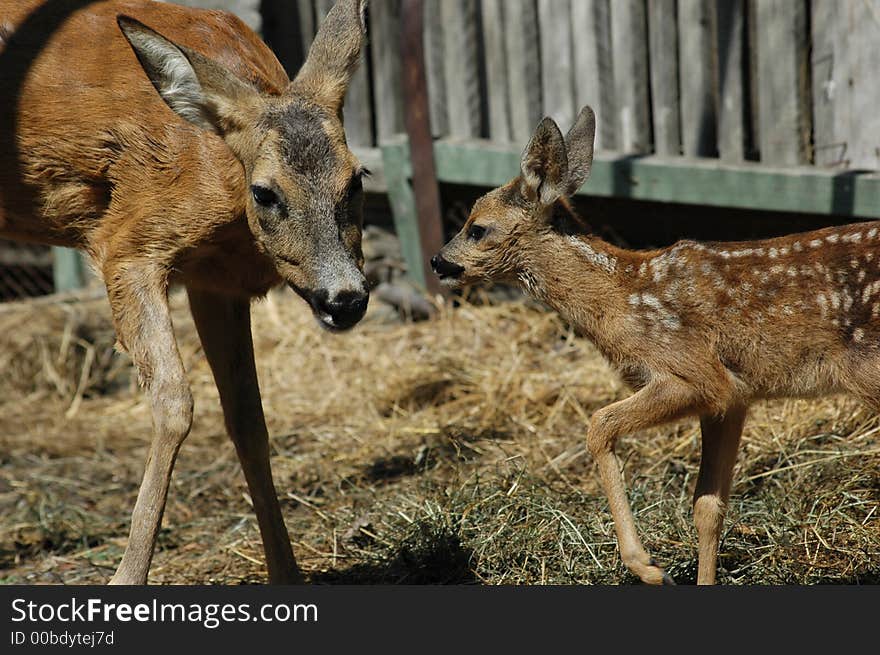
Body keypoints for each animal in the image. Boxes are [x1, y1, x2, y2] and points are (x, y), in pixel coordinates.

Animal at [0, 0, 372, 584]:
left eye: (357, 179)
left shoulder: (214, 280)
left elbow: (248, 419)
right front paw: (125, 578)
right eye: (265, 193)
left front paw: (287, 574)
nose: (345, 299)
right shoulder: (127, 243)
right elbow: (174, 401)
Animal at [434, 105, 880, 588]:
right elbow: (707, 506)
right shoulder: (733, 397)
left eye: (477, 228)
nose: (438, 261)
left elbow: (599, 425)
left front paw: (648, 567)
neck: (622, 298)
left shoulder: (694, 372)